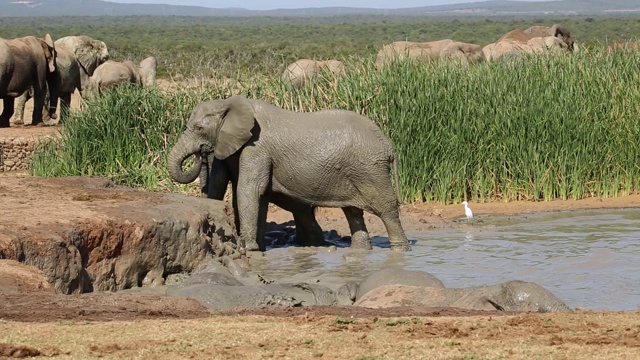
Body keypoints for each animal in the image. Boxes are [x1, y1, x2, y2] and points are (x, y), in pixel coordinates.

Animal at [168, 95, 412, 253]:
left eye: (199, 128)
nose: (201, 153)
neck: (228, 103)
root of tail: (388, 145)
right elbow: (254, 194)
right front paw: (258, 248)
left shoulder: (257, 147)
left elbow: (248, 190)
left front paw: (247, 248)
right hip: (355, 171)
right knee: (353, 212)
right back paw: (360, 252)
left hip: (370, 170)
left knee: (386, 209)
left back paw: (400, 251)